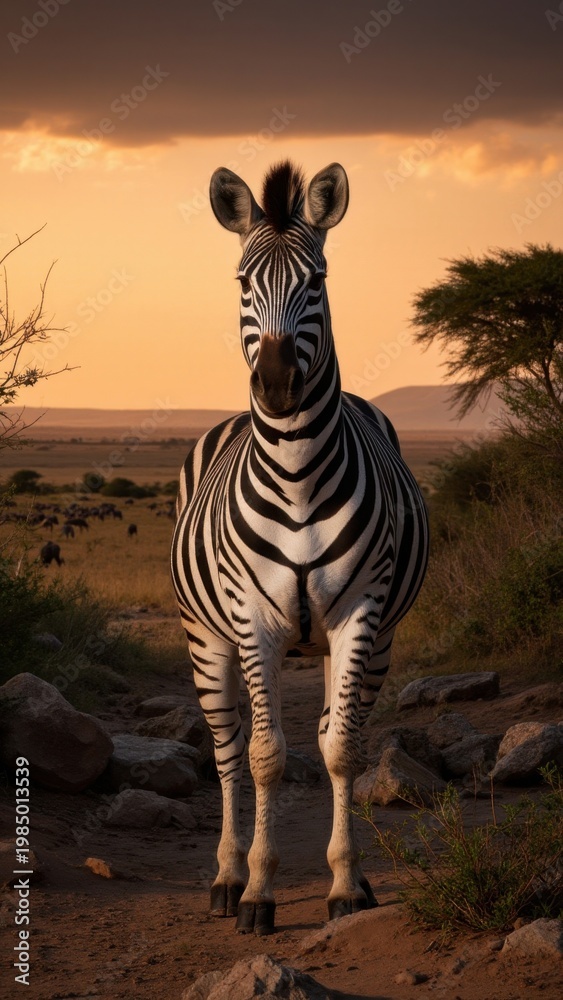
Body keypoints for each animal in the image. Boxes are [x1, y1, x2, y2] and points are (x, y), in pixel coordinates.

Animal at [171, 161, 429, 936]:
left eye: (317, 279)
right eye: (240, 281)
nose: (279, 386)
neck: (296, 474)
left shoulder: (360, 614)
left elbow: (341, 748)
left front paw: (345, 884)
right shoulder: (253, 621)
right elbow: (263, 758)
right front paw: (258, 890)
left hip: (370, 640)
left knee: (333, 730)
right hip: (206, 638)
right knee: (226, 751)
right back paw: (227, 879)